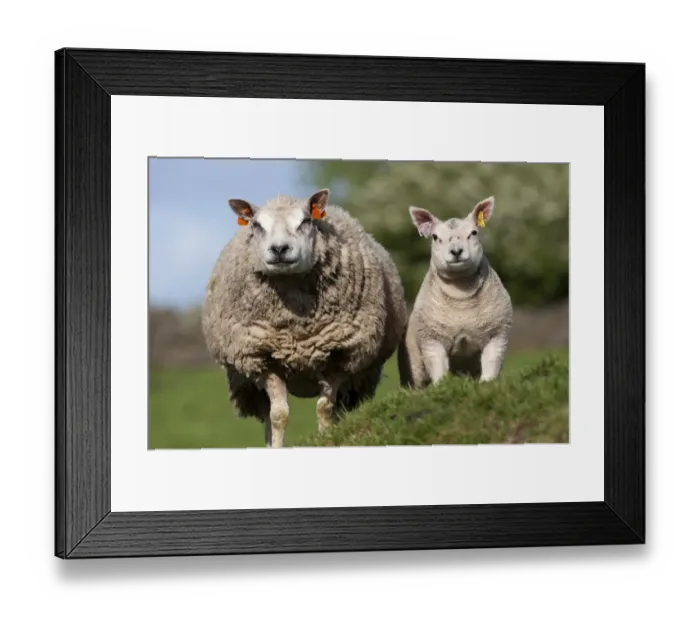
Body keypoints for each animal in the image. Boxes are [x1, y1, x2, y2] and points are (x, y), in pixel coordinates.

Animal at [201, 188, 408, 448]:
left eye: (306, 221)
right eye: (257, 225)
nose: (280, 249)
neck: (296, 329)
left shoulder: (339, 355)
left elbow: (325, 407)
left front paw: (326, 439)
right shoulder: (263, 358)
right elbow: (278, 414)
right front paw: (278, 446)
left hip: (360, 379)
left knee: (340, 408)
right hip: (247, 382)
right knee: (267, 414)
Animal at [397, 196, 513, 388]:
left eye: (474, 233)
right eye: (435, 237)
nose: (456, 251)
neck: (461, 298)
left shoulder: (497, 334)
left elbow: (491, 363)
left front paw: (487, 384)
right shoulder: (432, 340)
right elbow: (438, 368)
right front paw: (442, 387)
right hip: (413, 366)